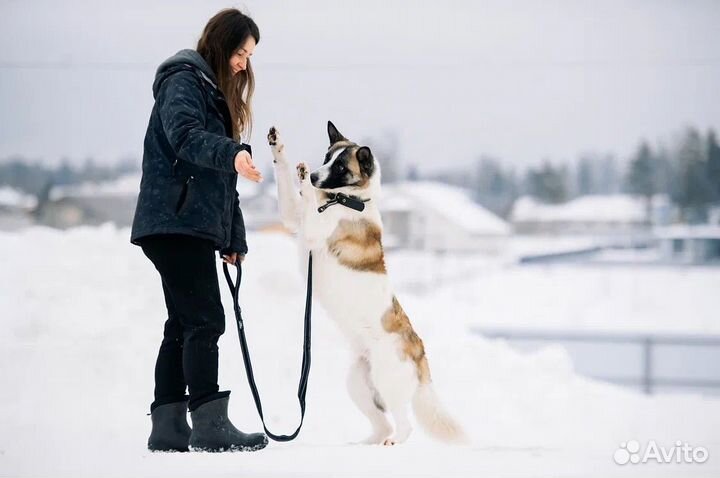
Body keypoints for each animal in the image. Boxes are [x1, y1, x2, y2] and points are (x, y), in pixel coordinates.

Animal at [268, 121, 464, 446]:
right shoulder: (295, 219)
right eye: (327, 157)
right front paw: (278, 145)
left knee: (404, 425)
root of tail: (420, 352)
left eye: (341, 166)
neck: (348, 201)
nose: (315, 175)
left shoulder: (311, 230)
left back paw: (393, 442)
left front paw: (305, 180)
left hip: (387, 380)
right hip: (357, 385)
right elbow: (285, 181)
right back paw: (365, 444)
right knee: (382, 424)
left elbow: (306, 198)